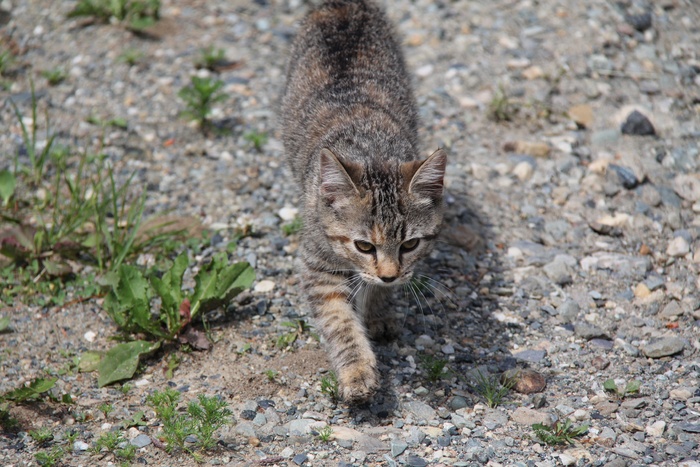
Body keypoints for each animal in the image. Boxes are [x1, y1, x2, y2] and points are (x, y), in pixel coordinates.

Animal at [278, 0, 442, 402]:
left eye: (410, 244)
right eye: (364, 245)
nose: (390, 275)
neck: (370, 150)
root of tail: (341, 5)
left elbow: (372, 291)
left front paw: (379, 310)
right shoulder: (318, 268)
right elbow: (340, 323)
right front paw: (356, 372)